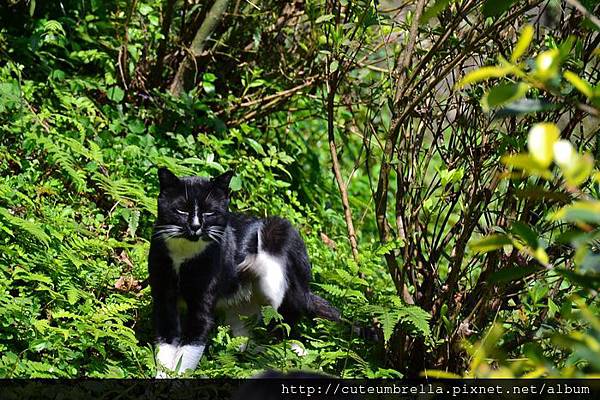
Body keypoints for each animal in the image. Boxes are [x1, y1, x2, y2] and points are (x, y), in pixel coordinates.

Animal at [147, 167, 340, 376]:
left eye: (209, 211)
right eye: (181, 209)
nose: (196, 227)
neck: (184, 254)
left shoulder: (202, 302)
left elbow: (189, 349)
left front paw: (178, 375)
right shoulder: (163, 296)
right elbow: (166, 344)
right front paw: (162, 375)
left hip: (282, 235)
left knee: (281, 313)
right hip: (240, 313)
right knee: (250, 343)